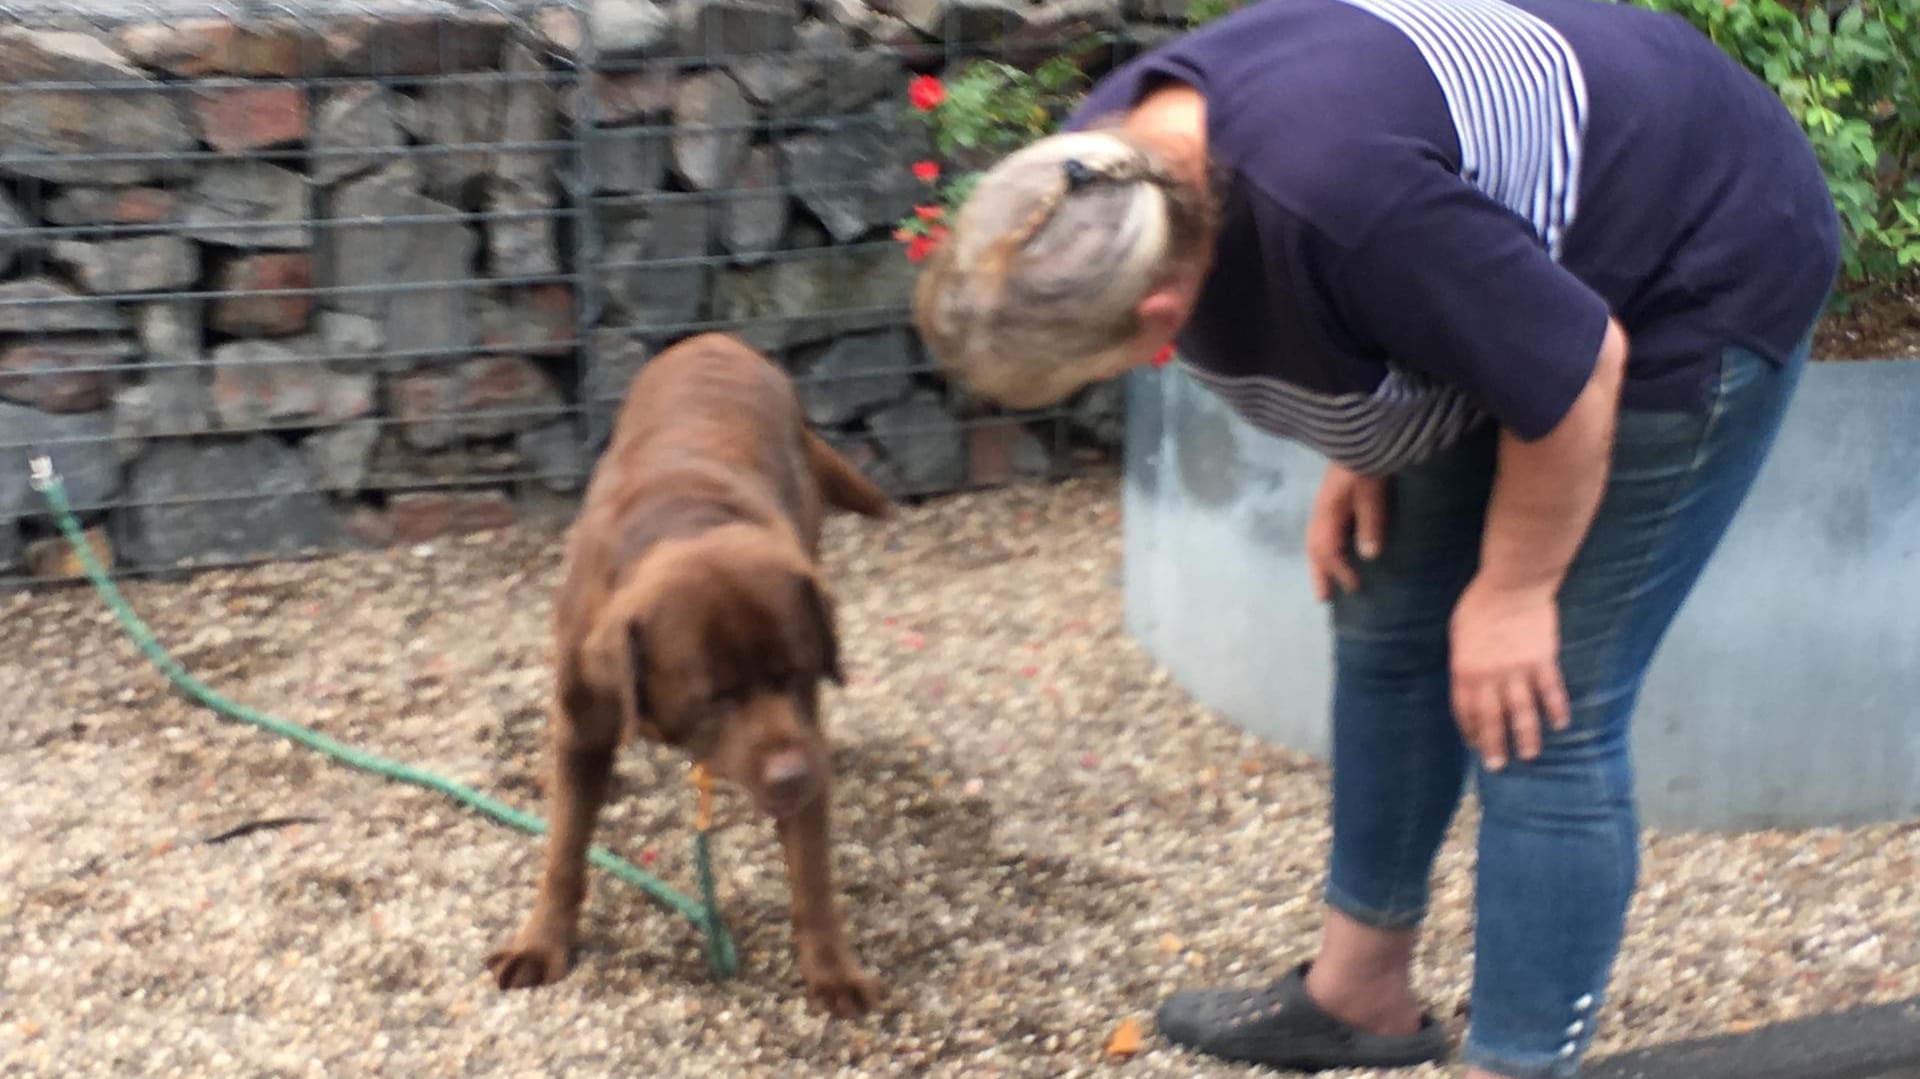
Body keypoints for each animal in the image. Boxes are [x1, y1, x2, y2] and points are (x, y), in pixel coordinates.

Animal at [487, 332, 890, 1013]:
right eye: (715, 698)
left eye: (796, 673)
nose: (794, 774)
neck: (686, 522)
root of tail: (716, 338)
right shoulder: (582, 722)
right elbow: (563, 847)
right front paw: (540, 944)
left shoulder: (803, 728)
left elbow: (812, 871)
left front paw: (834, 973)